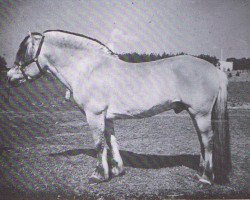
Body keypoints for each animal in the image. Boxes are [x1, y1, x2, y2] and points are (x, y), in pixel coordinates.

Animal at [6, 30, 231, 185]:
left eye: (24, 52)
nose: (9, 78)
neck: (88, 68)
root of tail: (215, 69)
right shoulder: (107, 117)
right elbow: (111, 141)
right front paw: (116, 171)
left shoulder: (94, 115)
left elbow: (99, 144)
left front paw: (98, 175)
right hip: (195, 114)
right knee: (202, 141)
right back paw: (201, 171)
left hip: (201, 114)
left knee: (208, 141)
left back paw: (205, 178)